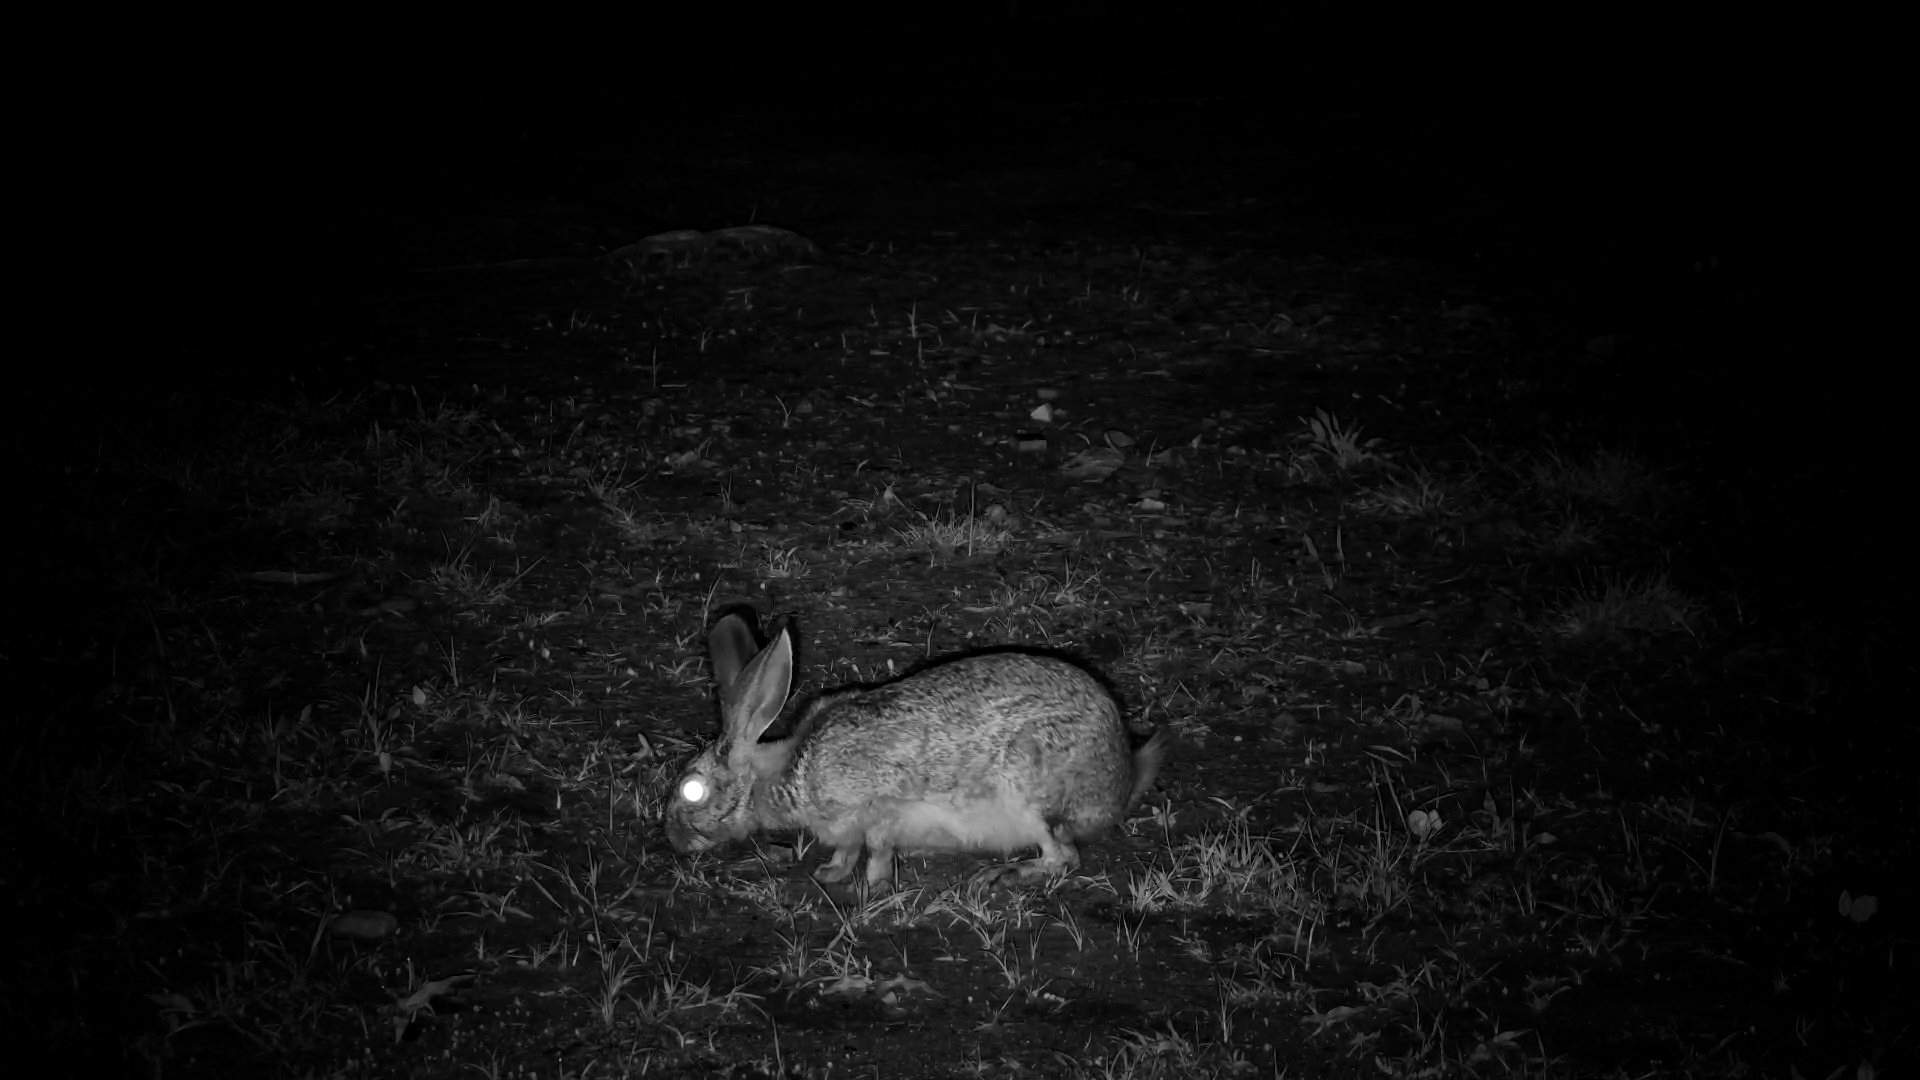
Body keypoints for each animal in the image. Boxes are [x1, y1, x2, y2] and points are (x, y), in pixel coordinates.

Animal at [665, 609, 1168, 890]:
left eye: (693, 791)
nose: (675, 843)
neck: (791, 767)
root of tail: (1121, 780)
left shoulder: (878, 806)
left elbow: (876, 847)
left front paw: (873, 885)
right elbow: (847, 850)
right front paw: (831, 875)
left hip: (1028, 795)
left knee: (1064, 858)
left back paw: (1004, 875)